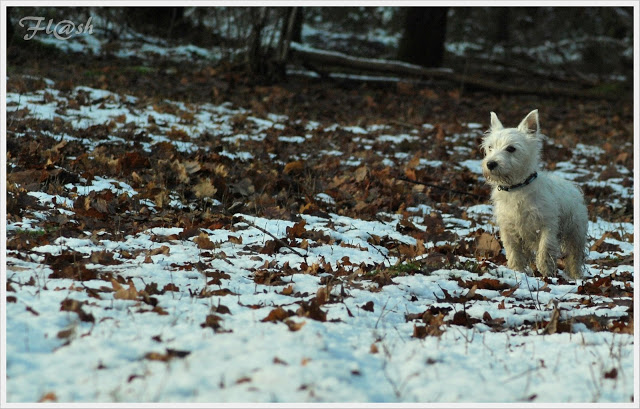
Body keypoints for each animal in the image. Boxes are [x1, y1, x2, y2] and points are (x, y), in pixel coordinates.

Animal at [482, 110, 588, 278]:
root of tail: (573, 187)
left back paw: (576, 276)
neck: (517, 187)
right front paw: (517, 272)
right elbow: (514, 253)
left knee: (574, 256)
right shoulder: (508, 229)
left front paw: (546, 271)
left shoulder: (547, 225)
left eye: (511, 149)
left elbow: (545, 248)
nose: (490, 164)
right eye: (490, 147)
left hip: (575, 231)